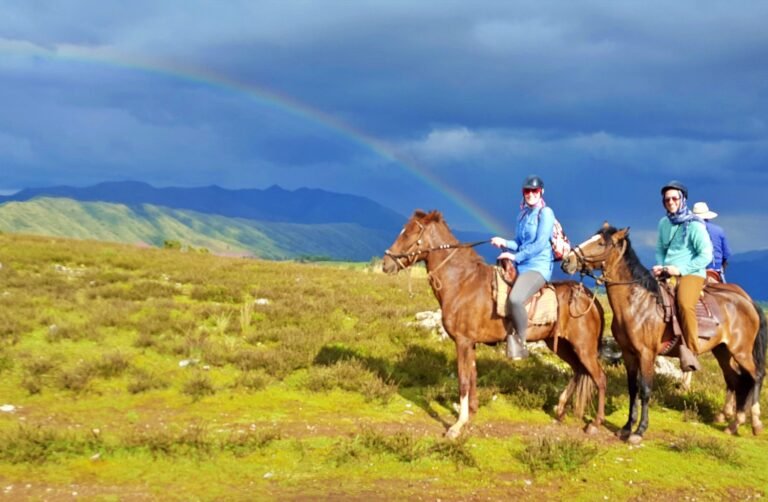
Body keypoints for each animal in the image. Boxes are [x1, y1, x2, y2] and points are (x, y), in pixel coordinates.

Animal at [380, 210, 608, 438]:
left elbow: (463, 380)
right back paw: (560, 410)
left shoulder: (462, 342)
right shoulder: (470, 343)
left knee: (600, 378)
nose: (385, 263)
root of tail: (590, 298)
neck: (462, 283)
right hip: (562, 346)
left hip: (584, 348)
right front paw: (471, 413)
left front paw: (457, 425)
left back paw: (596, 423)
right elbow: (472, 376)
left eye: (409, 233)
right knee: (578, 371)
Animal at [560, 226, 768, 444]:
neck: (638, 304)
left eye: (601, 243)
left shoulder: (647, 353)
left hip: (742, 352)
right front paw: (626, 428)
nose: (567, 261)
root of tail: (748, 302)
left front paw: (639, 431)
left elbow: (645, 390)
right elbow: (633, 389)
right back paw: (731, 422)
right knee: (736, 379)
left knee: (755, 376)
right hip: (723, 351)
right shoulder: (628, 353)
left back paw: (749, 423)